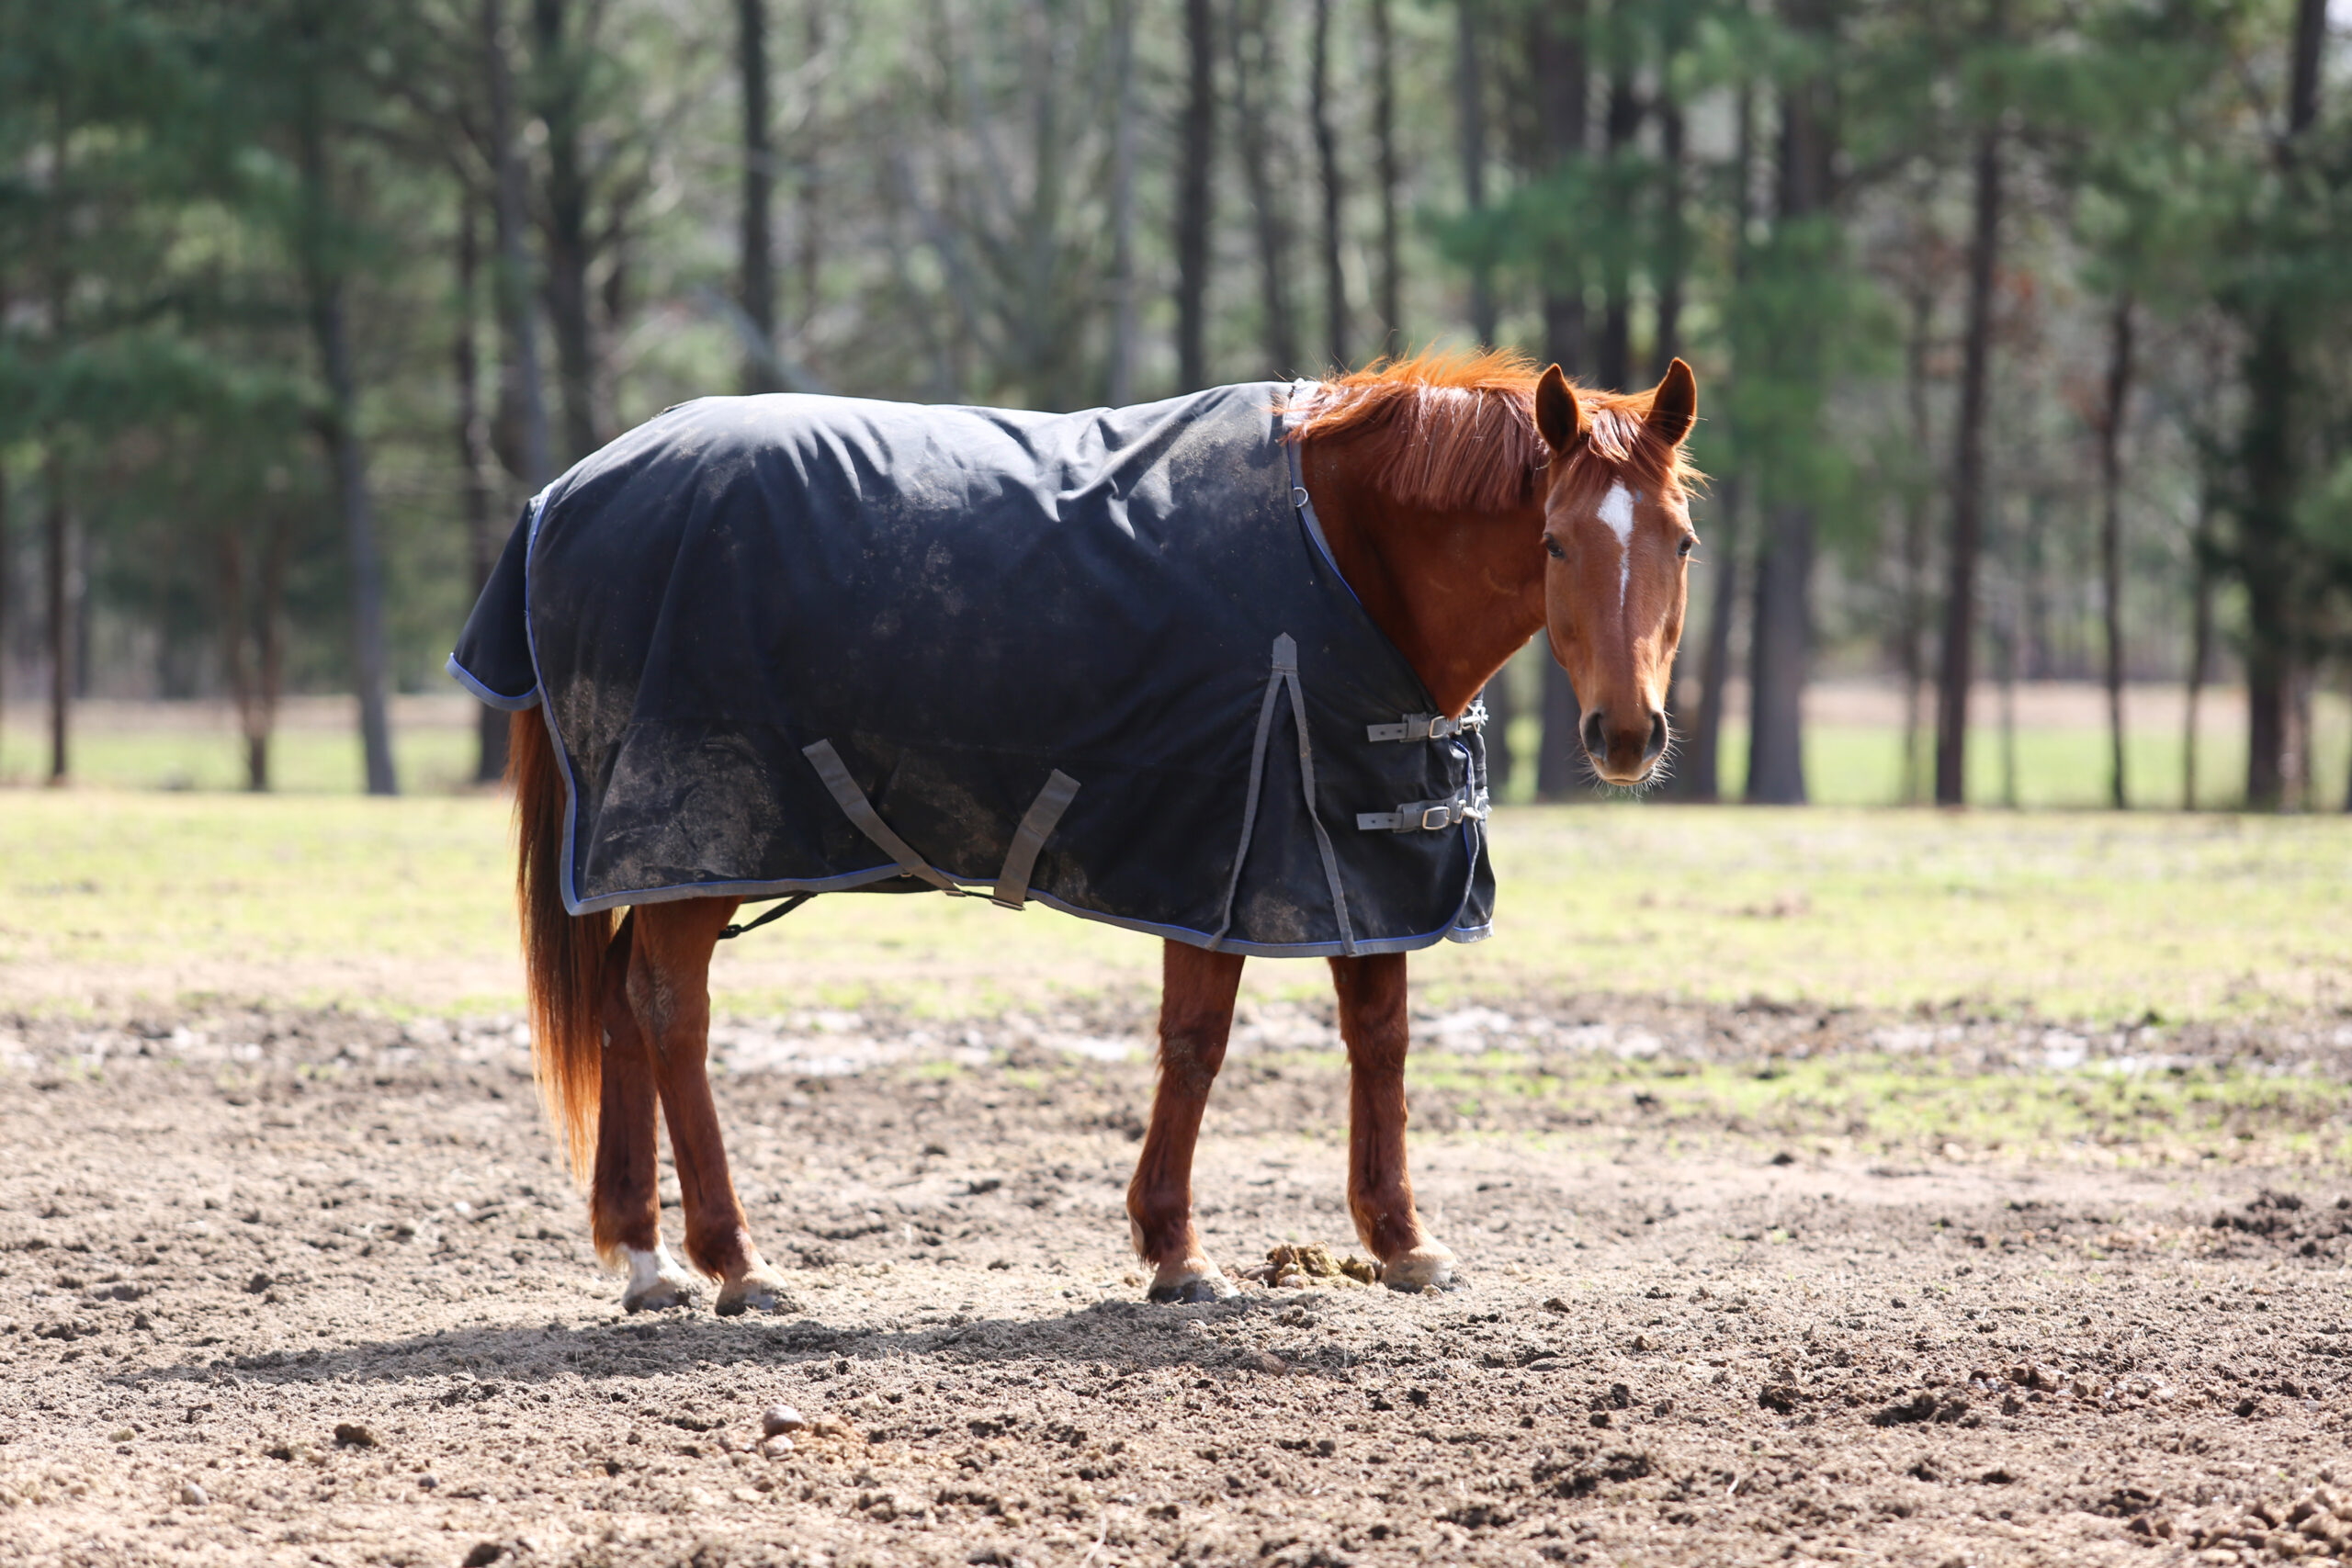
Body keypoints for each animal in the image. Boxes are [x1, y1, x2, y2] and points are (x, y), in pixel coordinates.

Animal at [494, 348, 1700, 1312]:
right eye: (1554, 544)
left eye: (1682, 543)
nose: (1625, 734)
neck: (1343, 552)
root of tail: (568, 493)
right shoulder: (1227, 858)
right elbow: (1196, 1045)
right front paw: (1175, 1251)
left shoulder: (1363, 858)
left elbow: (1381, 1041)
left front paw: (1401, 1241)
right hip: (697, 848)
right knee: (672, 1015)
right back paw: (734, 1262)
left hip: (661, 867)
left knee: (620, 1009)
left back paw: (646, 1261)